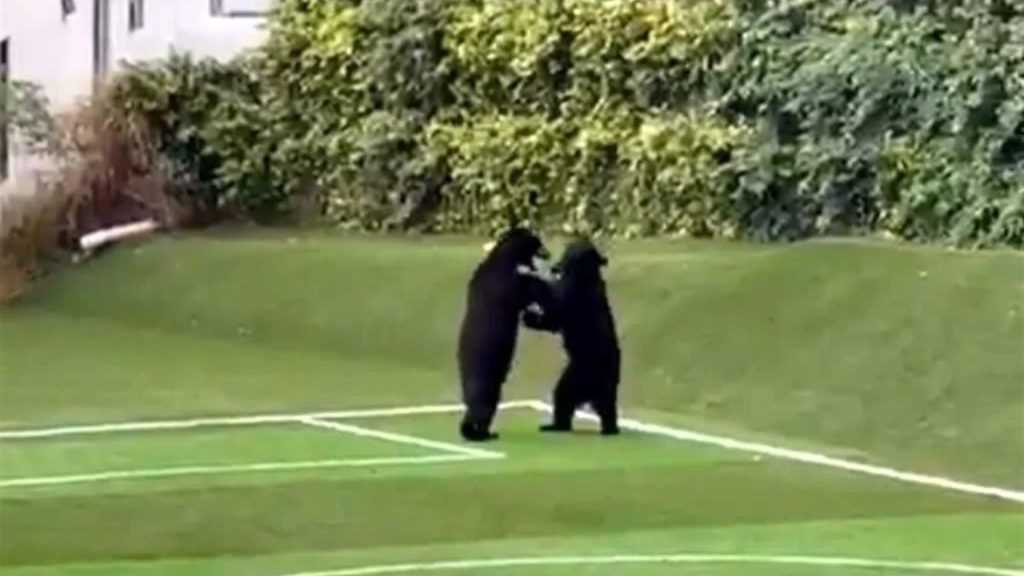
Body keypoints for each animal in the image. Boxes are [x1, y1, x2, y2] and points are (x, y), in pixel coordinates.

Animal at [457, 227, 552, 442]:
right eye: (538, 242)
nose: (548, 254)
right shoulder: (507, 283)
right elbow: (523, 292)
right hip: (487, 381)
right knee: (483, 408)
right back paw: (481, 434)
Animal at [522, 239, 621, 435]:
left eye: (567, 255)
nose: (554, 267)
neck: (584, 273)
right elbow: (553, 320)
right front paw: (529, 317)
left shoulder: (576, 295)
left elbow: (556, 302)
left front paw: (532, 279)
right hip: (584, 375)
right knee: (566, 397)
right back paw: (557, 425)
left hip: (584, 371)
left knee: (578, 397)